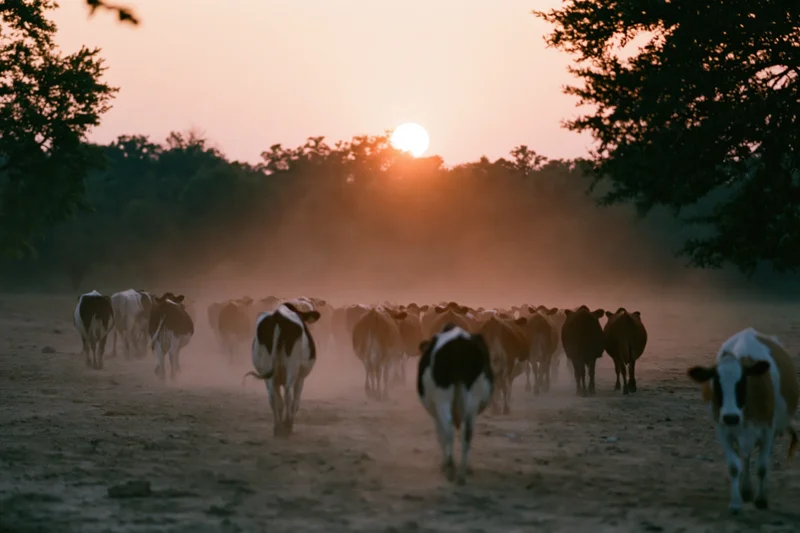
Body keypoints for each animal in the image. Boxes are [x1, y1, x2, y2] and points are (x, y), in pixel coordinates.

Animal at [243, 303, 321, 437]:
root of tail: (278, 315)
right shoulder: (301, 378)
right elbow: (295, 402)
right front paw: (289, 422)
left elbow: (279, 401)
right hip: (292, 367)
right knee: (288, 394)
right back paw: (287, 425)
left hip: (267, 370)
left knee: (272, 397)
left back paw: (278, 427)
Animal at [417, 324, 494, 485]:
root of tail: (459, 342)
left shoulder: (435, 410)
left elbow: (440, 436)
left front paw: (443, 464)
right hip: (472, 398)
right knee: (467, 433)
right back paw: (462, 474)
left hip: (442, 399)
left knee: (449, 429)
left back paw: (450, 468)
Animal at [687, 328, 799, 514]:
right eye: (717, 384)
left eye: (742, 383)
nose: (731, 416)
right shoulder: (723, 430)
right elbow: (734, 467)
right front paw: (735, 503)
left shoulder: (768, 429)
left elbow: (762, 466)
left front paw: (761, 500)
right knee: (745, 457)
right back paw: (745, 490)